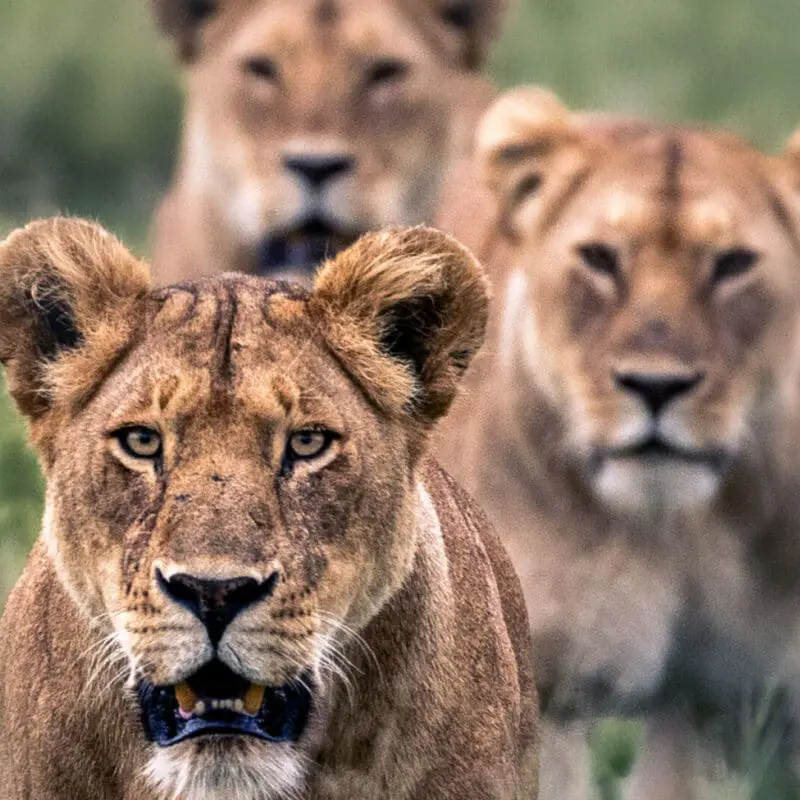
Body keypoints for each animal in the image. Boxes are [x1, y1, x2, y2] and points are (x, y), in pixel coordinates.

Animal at [436, 86, 800, 798]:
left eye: (733, 264)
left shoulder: (717, 698)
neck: (671, 532)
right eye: (600, 258)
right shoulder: (548, 687)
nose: (655, 387)